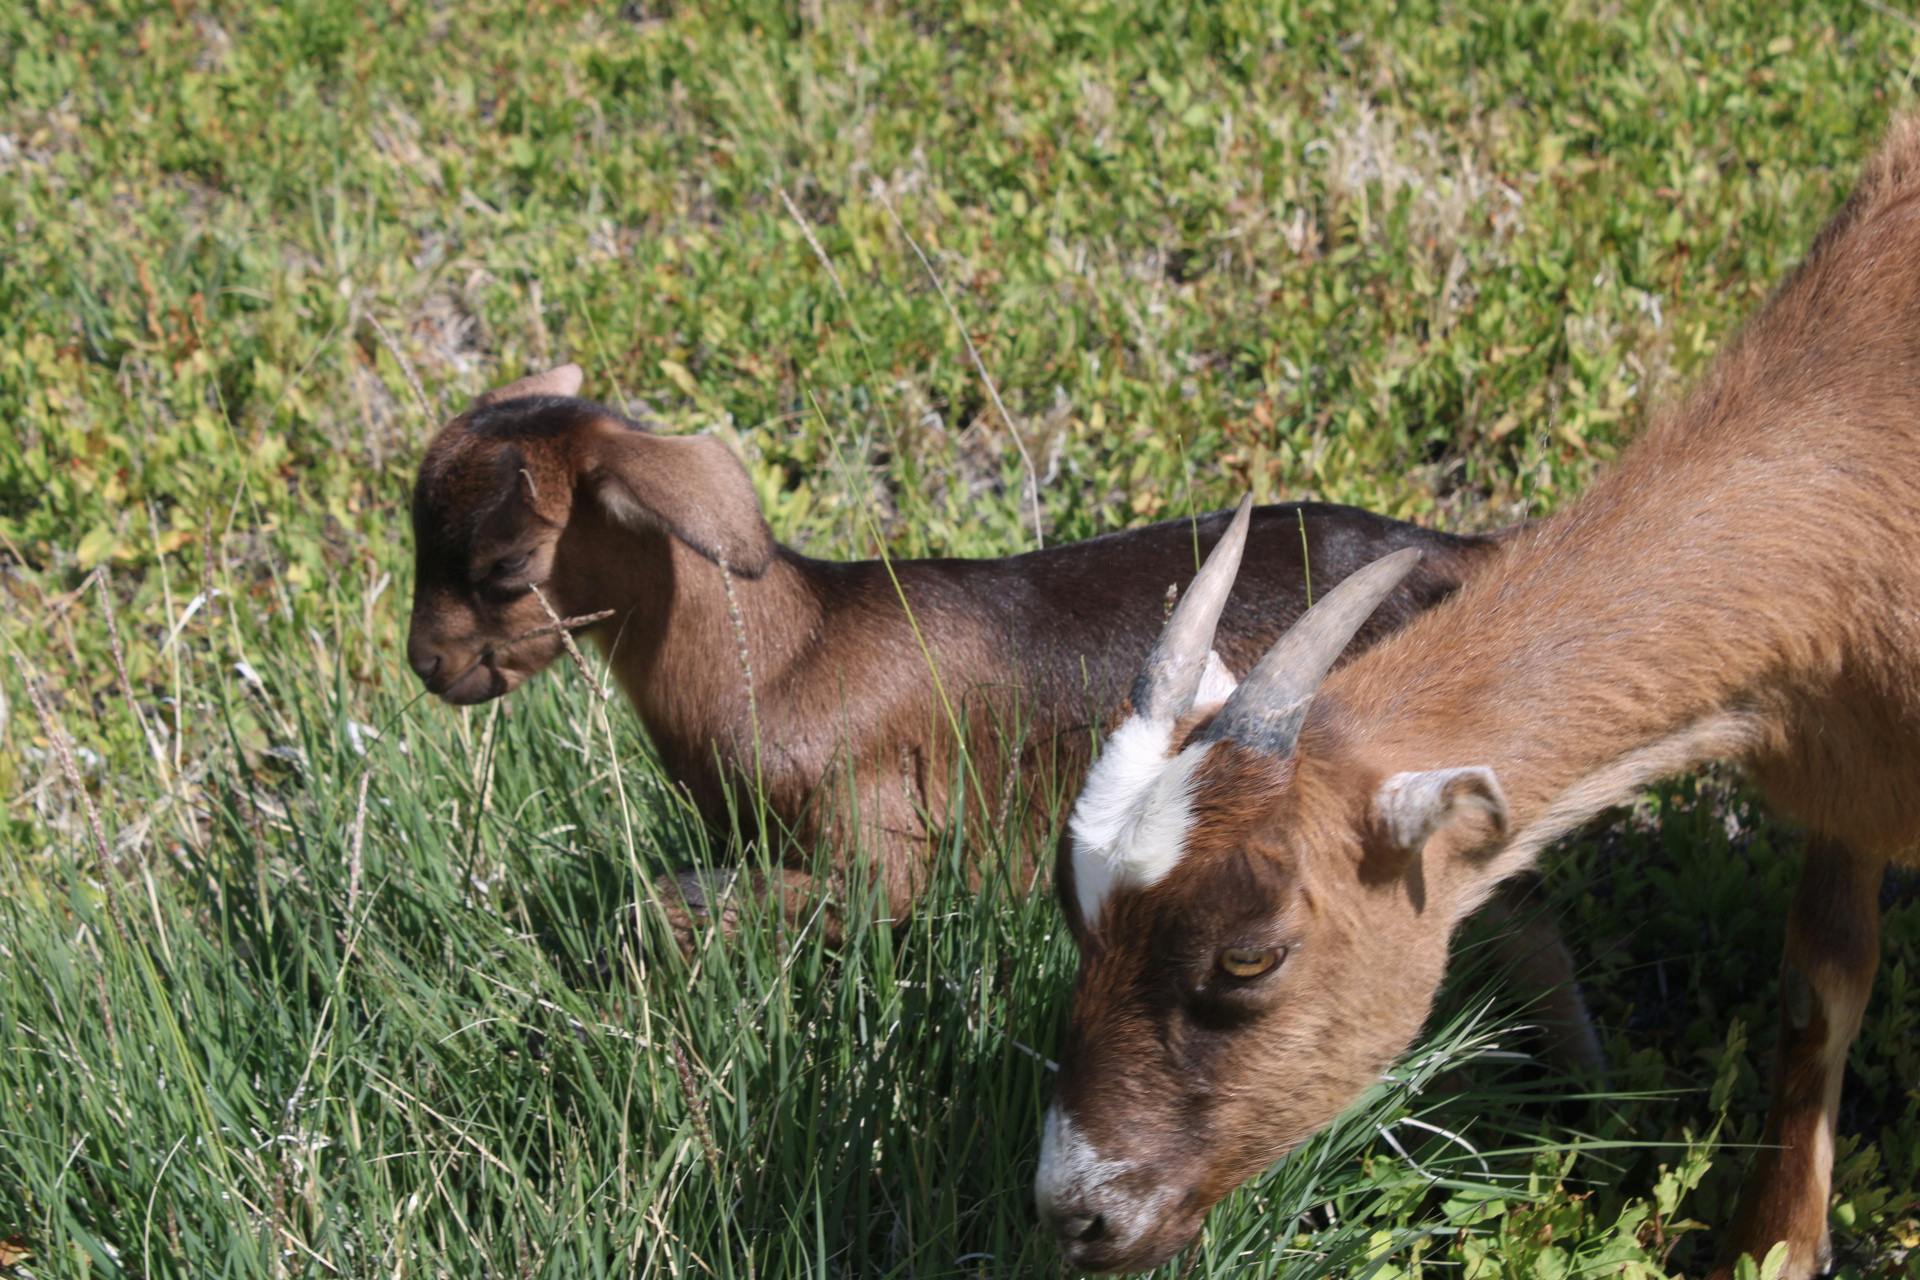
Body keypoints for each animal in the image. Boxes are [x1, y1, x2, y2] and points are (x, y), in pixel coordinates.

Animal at [1034, 117, 1920, 1278]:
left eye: (1251, 952)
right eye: (1070, 903)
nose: (1075, 1211)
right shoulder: (1847, 778)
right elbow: (1820, 980)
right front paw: (1771, 1246)